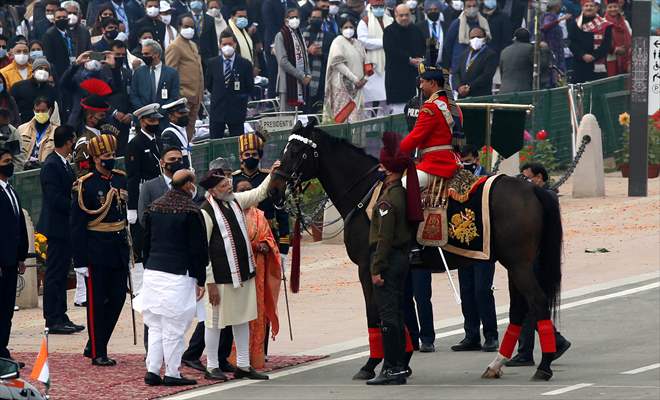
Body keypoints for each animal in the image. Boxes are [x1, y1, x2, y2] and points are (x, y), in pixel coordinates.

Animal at [268, 123, 564, 382]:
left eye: (295, 152)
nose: (273, 190)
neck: (367, 195)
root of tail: (532, 188)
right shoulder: (398, 270)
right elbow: (402, 314)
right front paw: (401, 362)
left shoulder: (368, 267)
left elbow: (376, 314)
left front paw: (373, 365)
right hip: (514, 264)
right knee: (520, 308)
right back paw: (502, 363)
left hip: (519, 264)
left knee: (537, 302)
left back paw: (544, 365)